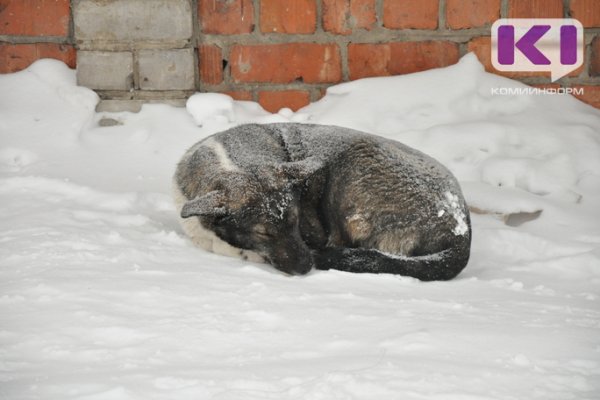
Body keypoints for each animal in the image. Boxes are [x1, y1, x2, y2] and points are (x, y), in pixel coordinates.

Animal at [171, 122, 472, 282]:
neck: (229, 159)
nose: (306, 266)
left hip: (354, 164)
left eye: (295, 221)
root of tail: (462, 231)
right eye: (263, 233)